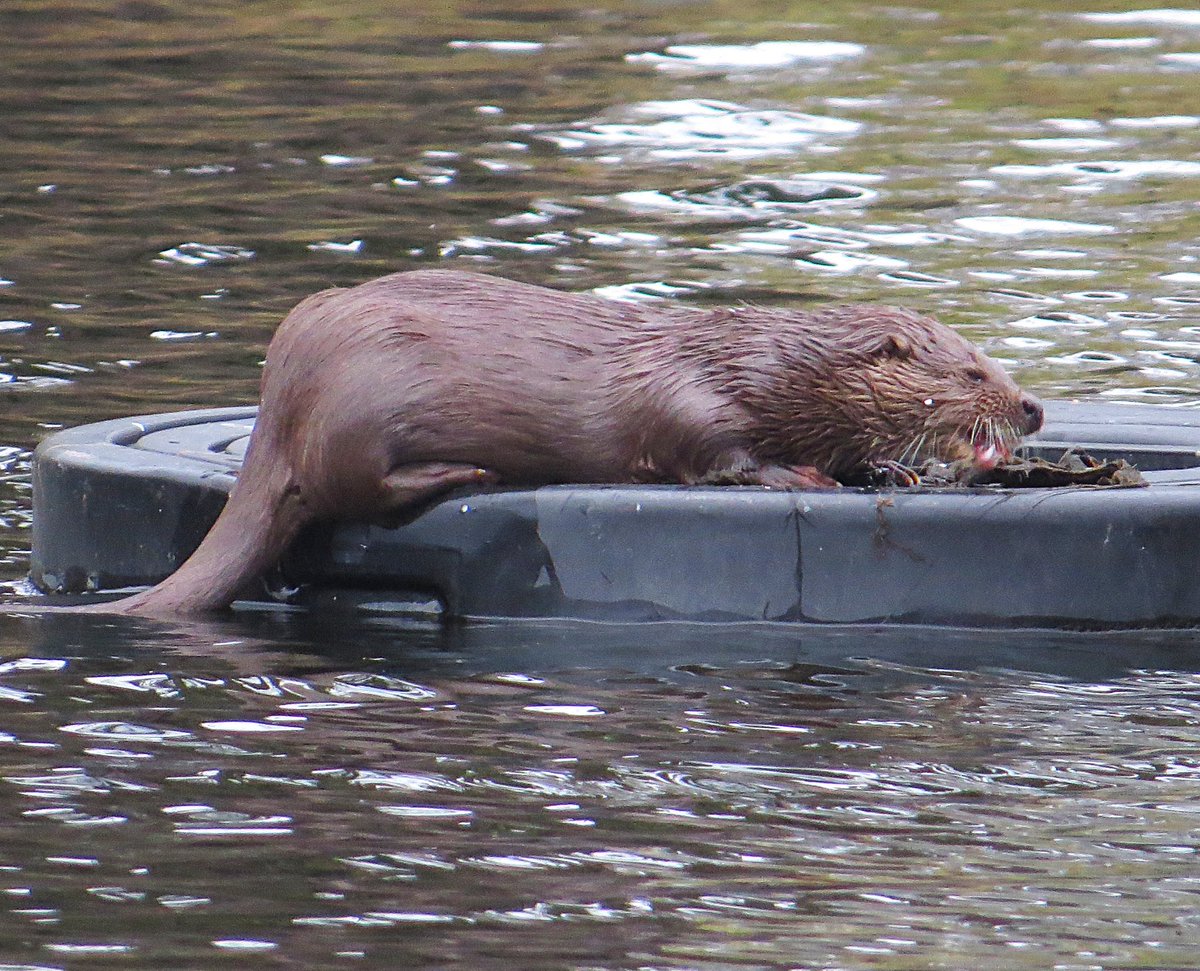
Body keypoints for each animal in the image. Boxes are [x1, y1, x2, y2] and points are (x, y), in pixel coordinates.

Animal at [81, 269, 1042, 617]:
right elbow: (719, 457)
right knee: (358, 491)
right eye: (972, 373)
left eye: (993, 359)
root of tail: (276, 407)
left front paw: (881, 465)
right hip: (356, 413)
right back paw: (466, 467)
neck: (769, 368)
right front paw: (801, 472)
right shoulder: (694, 402)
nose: (1031, 406)